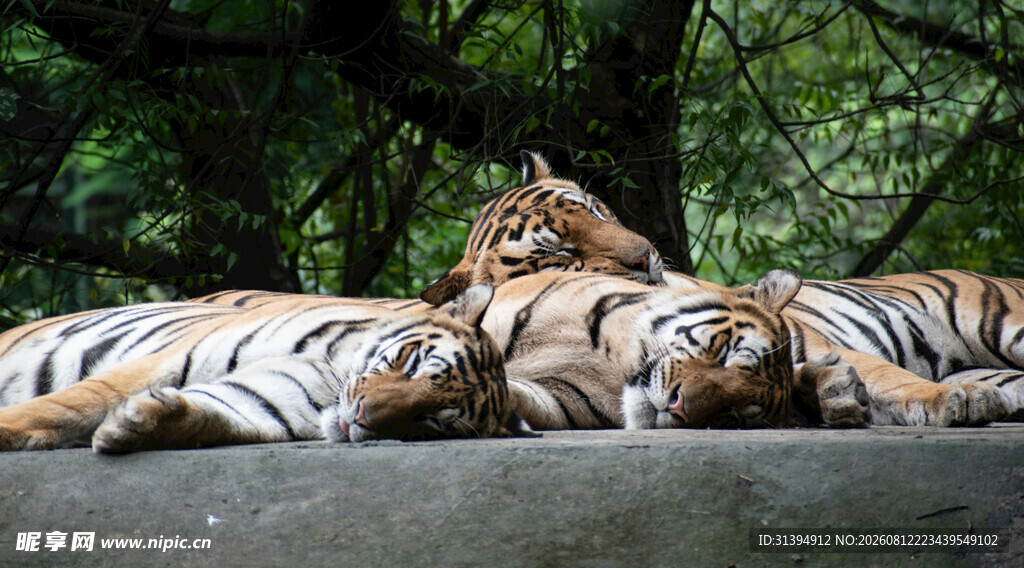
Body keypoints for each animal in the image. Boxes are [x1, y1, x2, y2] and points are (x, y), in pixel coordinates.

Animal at [0, 285, 534, 452]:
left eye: (430, 422)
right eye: (413, 363)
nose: (363, 417)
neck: (331, 377)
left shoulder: (267, 401)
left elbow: (212, 415)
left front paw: (138, 423)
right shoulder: (164, 361)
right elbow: (64, 406)